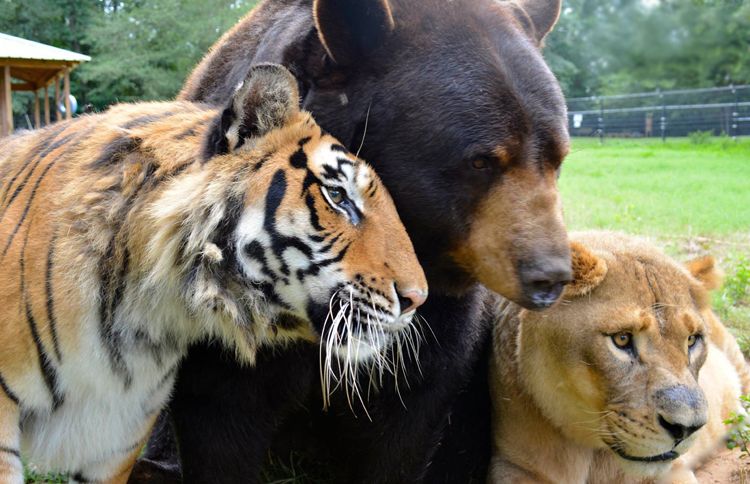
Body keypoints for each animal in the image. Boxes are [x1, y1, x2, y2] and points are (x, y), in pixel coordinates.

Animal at [490, 233, 748, 482]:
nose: (687, 429)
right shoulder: (512, 466)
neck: (592, 456)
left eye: (692, 340)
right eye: (622, 339)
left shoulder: (674, 471)